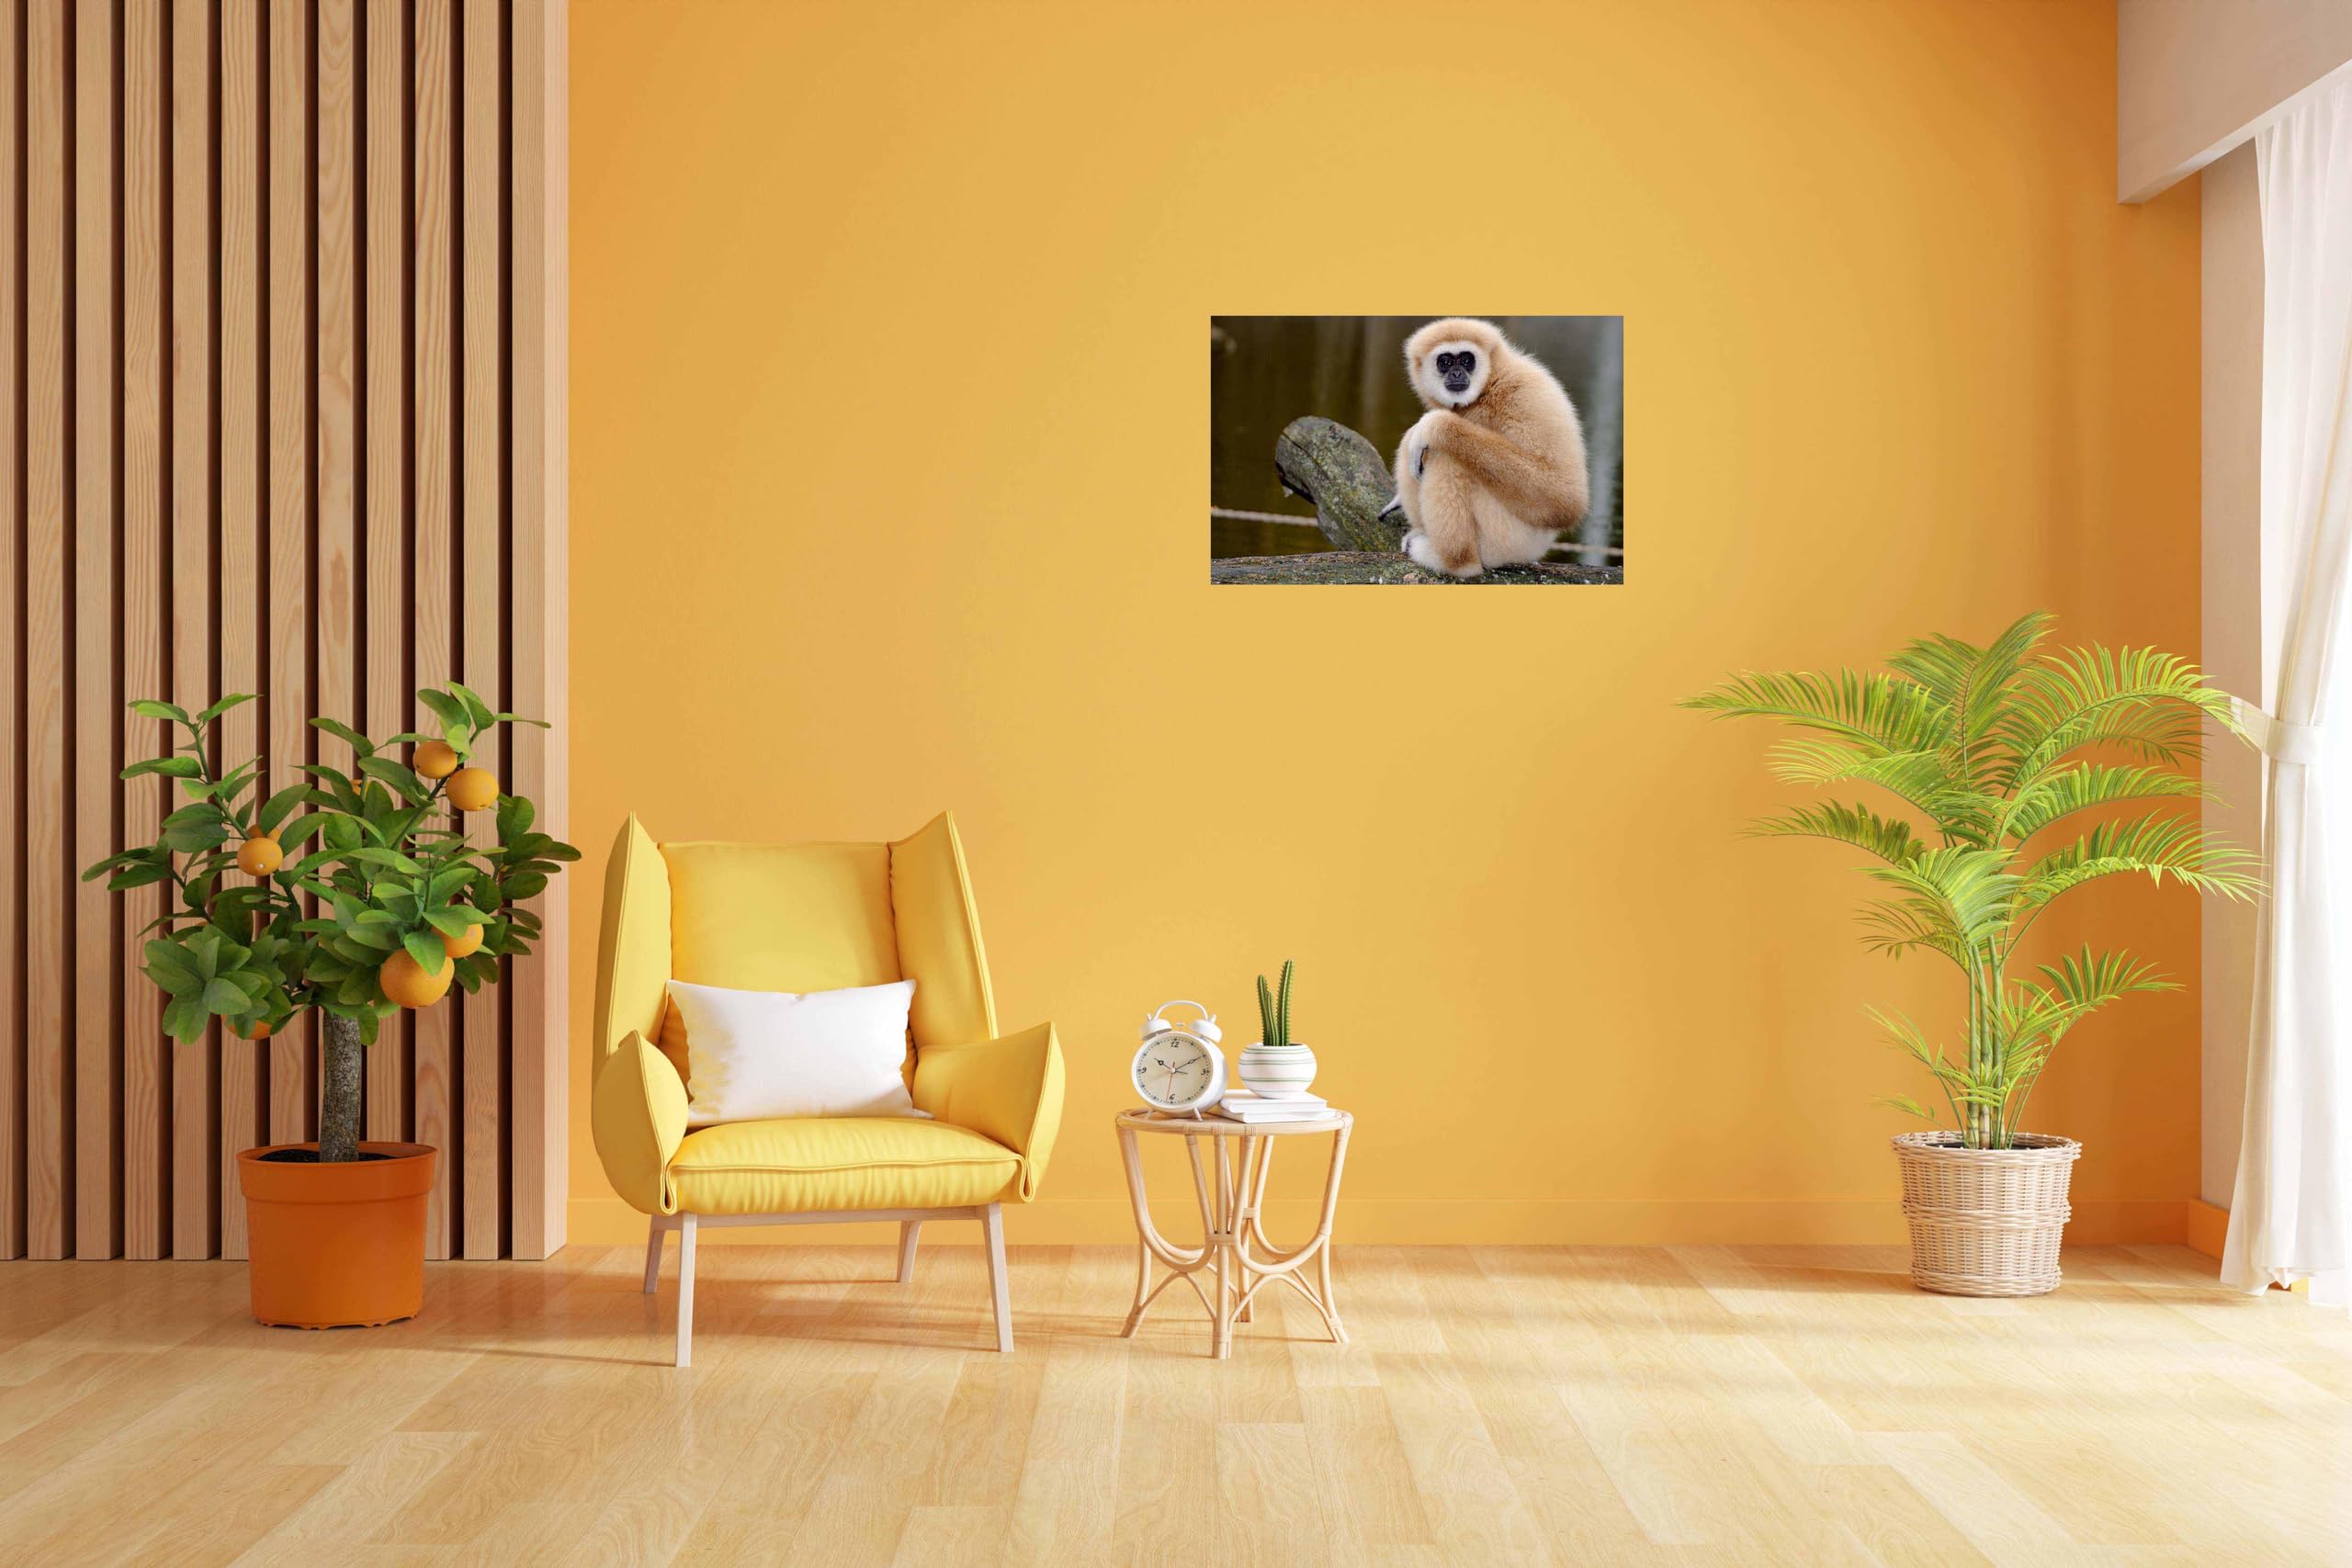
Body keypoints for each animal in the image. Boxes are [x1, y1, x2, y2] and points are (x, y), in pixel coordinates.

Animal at [1380, 318, 1590, 578]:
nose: (1457, 372)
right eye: (1445, 361)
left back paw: (1455, 562)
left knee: (1444, 456)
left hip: (1507, 539)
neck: (1489, 385)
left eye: (1466, 360)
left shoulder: (1528, 394)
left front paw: (1435, 425)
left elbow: (1564, 499)